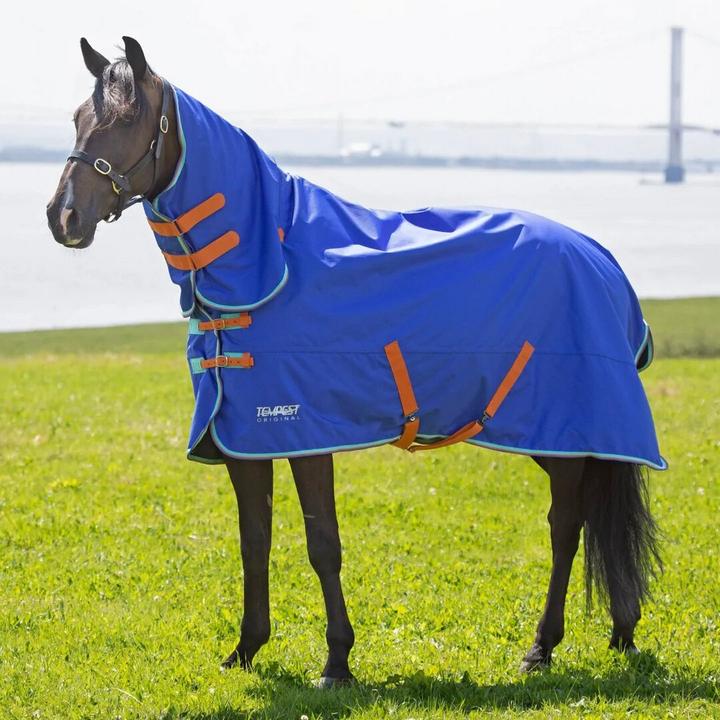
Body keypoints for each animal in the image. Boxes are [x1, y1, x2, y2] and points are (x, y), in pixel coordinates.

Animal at [46, 37, 663, 686]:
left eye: (127, 120)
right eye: (79, 118)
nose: (63, 217)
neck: (271, 266)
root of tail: (602, 260)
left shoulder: (304, 434)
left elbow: (323, 545)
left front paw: (337, 661)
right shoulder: (243, 440)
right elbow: (253, 540)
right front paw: (246, 648)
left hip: (566, 433)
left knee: (566, 525)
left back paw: (543, 646)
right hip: (561, 437)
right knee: (589, 517)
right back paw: (620, 630)